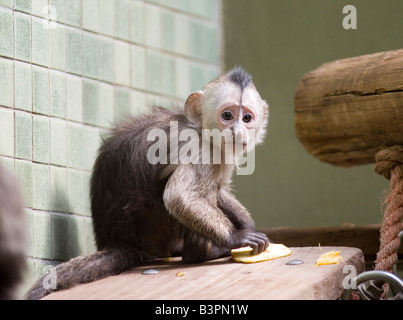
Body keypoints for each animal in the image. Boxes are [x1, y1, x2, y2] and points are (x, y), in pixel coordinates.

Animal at [26, 67, 272, 300]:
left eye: (247, 118)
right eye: (227, 115)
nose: (238, 132)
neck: (201, 130)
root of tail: (118, 241)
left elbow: (220, 191)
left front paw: (247, 224)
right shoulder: (198, 148)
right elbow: (179, 197)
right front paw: (236, 237)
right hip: (151, 229)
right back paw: (201, 253)